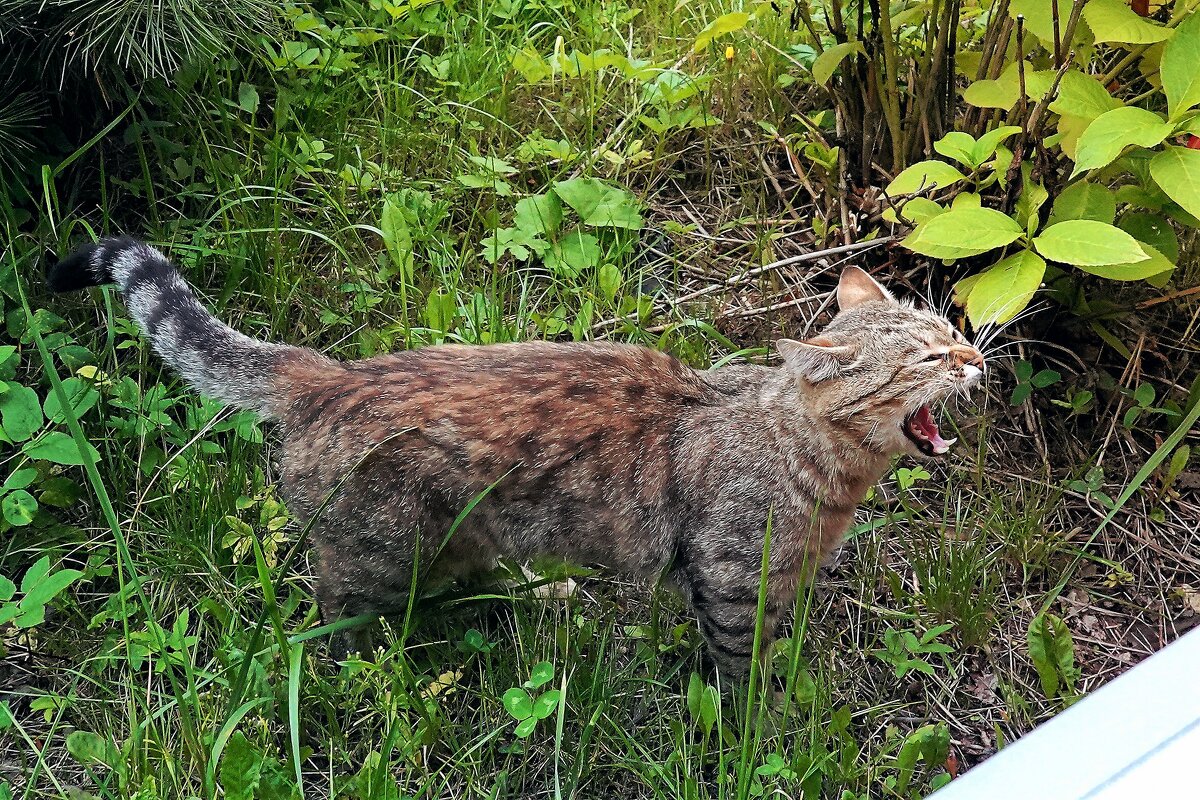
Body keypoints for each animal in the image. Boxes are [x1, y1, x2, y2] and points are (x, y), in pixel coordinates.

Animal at [46, 237, 984, 676]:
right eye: (927, 357)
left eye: (950, 332)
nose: (977, 356)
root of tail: (333, 374)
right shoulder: (727, 578)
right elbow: (739, 667)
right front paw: (757, 717)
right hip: (377, 555)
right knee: (334, 612)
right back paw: (365, 661)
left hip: (472, 532)